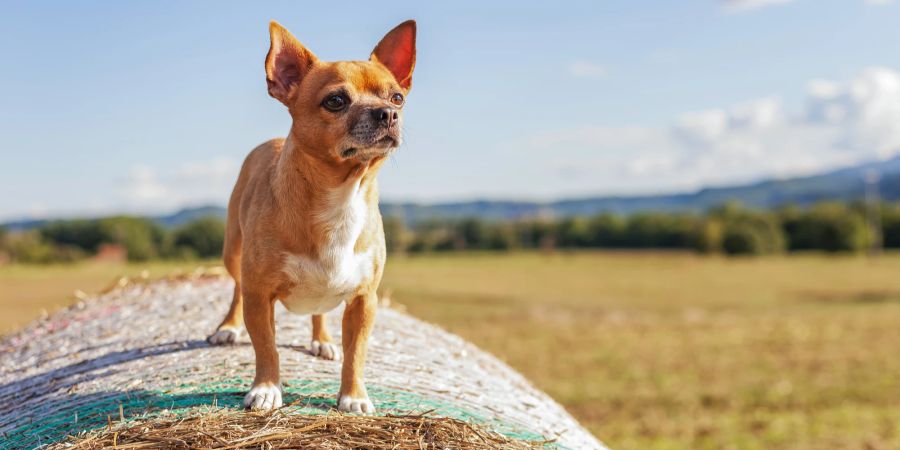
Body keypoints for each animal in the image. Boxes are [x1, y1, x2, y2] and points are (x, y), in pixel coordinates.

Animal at [207, 19, 414, 414]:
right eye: (335, 101)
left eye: (397, 97)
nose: (388, 114)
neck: (342, 196)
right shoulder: (260, 294)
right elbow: (267, 347)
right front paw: (266, 388)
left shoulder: (364, 300)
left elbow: (356, 353)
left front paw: (354, 396)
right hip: (233, 253)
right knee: (236, 289)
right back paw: (228, 327)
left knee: (320, 310)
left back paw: (322, 340)